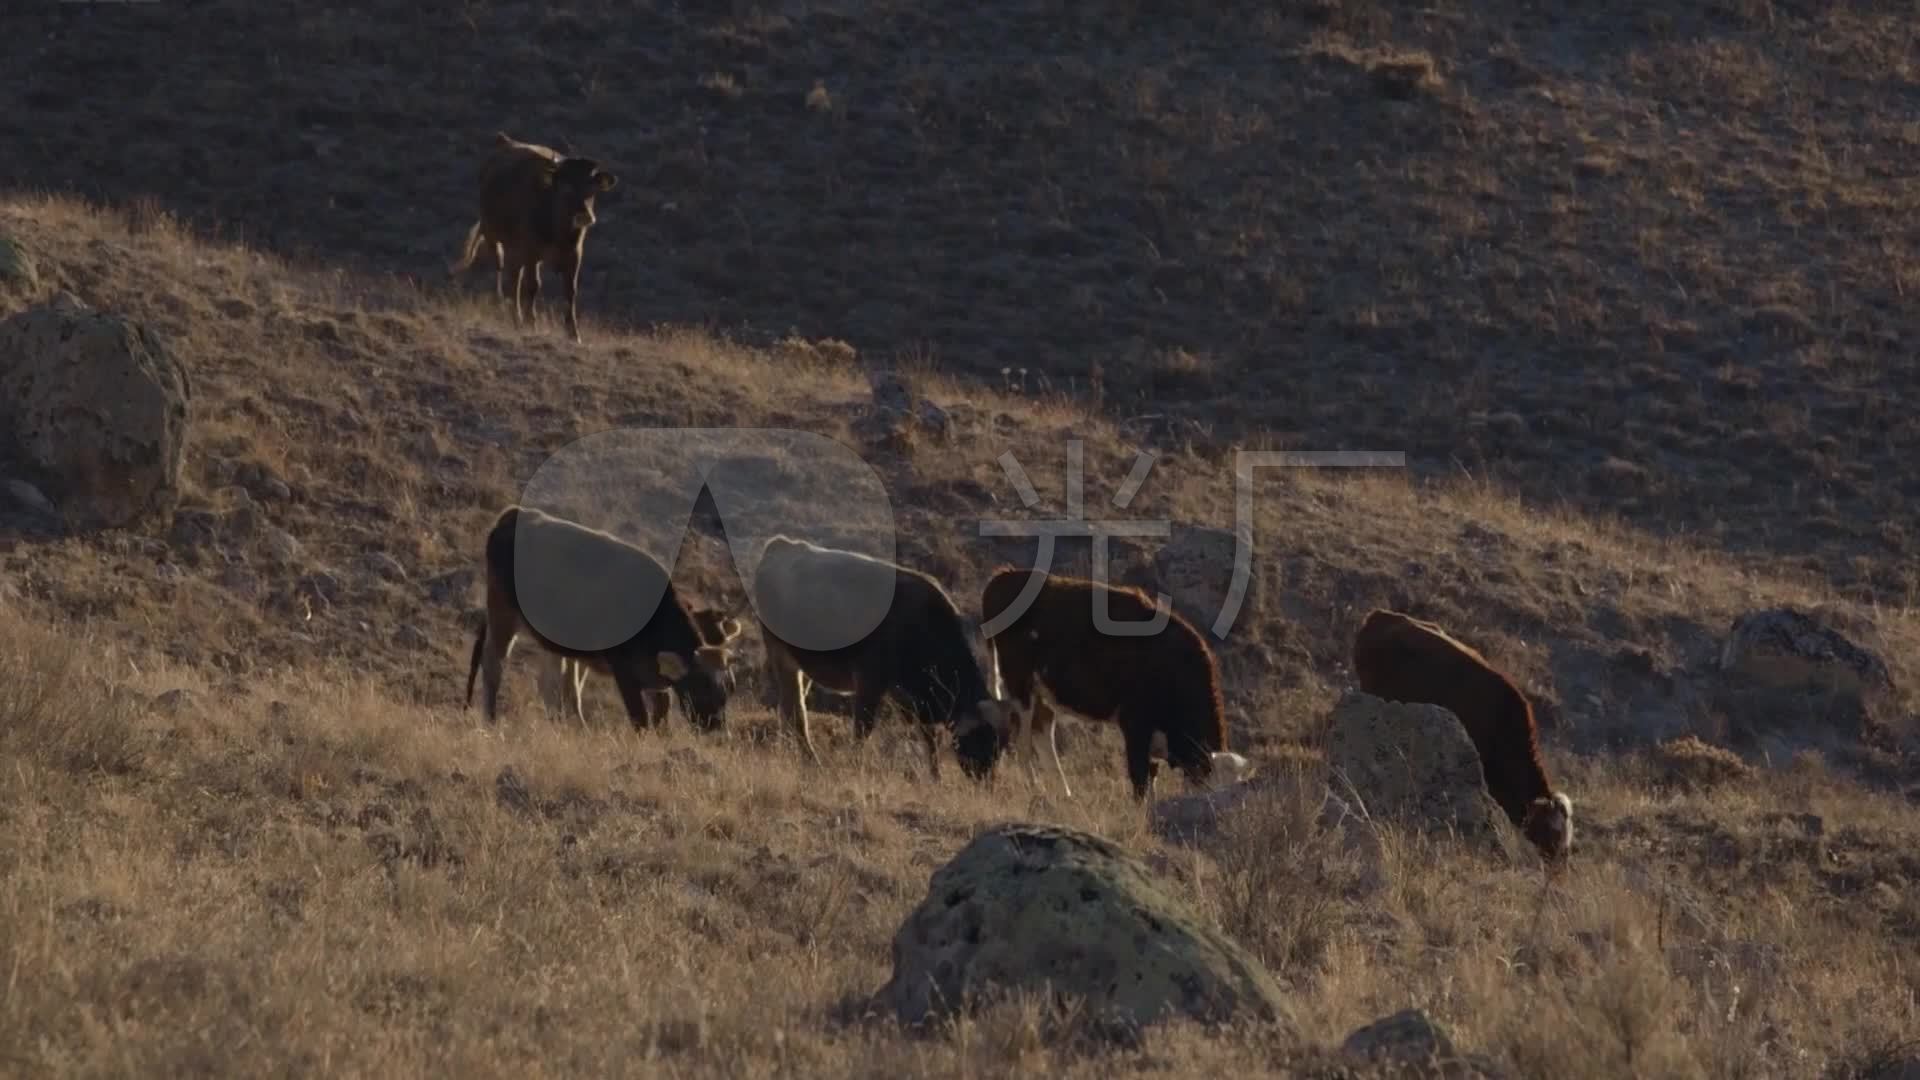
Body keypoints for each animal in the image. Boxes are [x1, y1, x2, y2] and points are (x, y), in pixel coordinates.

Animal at [445, 129, 618, 343]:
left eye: (592, 188)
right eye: (565, 187)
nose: (584, 216)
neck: (558, 232)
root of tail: (505, 141)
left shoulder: (575, 254)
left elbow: (570, 291)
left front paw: (573, 333)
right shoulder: (530, 252)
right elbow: (533, 286)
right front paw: (531, 324)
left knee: (514, 278)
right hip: (493, 234)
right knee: (503, 272)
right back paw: (510, 311)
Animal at [462, 503, 733, 722]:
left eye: (726, 690)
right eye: (700, 687)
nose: (716, 727)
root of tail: (513, 514)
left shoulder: (654, 681)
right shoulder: (624, 673)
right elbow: (639, 718)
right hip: (502, 615)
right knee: (494, 664)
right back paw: (491, 719)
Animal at [744, 534, 1006, 772]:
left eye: (1000, 746)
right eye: (982, 739)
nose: (986, 780)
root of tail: (782, 545)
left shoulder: (909, 695)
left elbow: (928, 736)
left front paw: (935, 776)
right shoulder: (870, 681)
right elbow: (863, 728)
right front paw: (854, 765)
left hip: (802, 665)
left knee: (786, 710)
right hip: (781, 657)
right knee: (795, 713)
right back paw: (812, 762)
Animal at [975, 568, 1259, 795]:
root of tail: (1003, 577)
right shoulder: (1135, 725)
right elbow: (1140, 779)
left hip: (1044, 691)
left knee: (1043, 733)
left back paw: (1064, 793)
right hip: (1019, 685)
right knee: (1023, 739)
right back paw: (1036, 788)